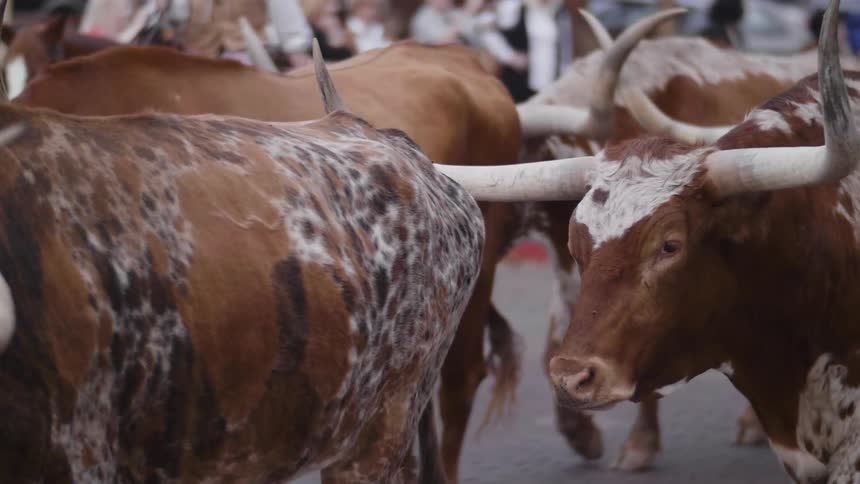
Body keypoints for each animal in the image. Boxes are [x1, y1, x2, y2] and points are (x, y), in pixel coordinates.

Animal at [437, 0, 860, 481]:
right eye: (577, 246)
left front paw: (635, 443)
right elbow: (552, 342)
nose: (573, 377)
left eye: (669, 246)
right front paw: (584, 435)